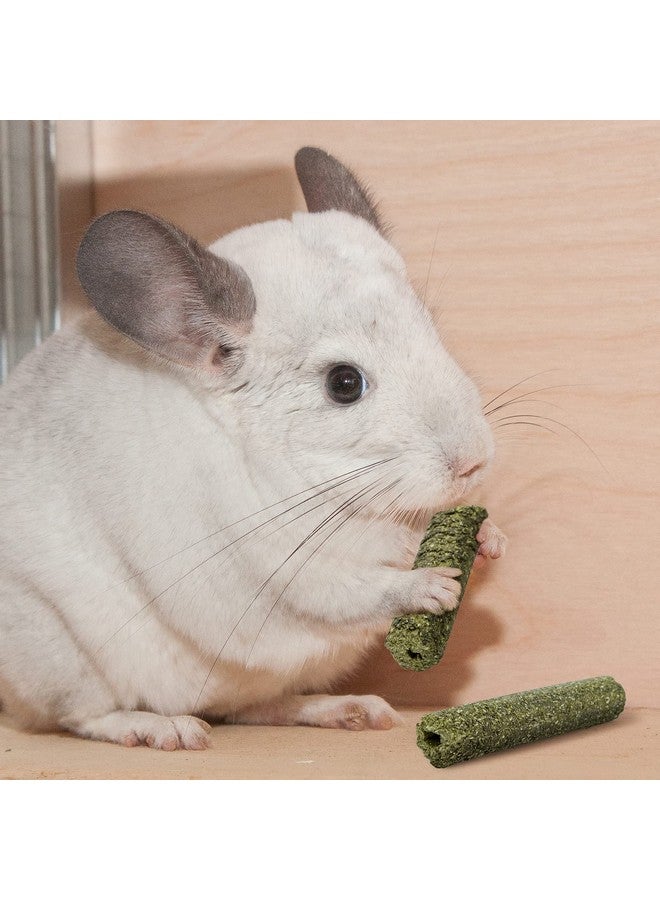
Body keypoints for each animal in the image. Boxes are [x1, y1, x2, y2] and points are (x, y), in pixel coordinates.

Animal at [0, 147, 506, 750]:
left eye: (432, 331)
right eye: (344, 383)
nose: (474, 460)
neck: (340, 494)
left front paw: (489, 537)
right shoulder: (274, 568)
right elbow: (352, 591)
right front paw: (429, 586)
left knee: (250, 709)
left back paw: (343, 709)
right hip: (56, 651)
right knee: (82, 716)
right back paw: (164, 729)